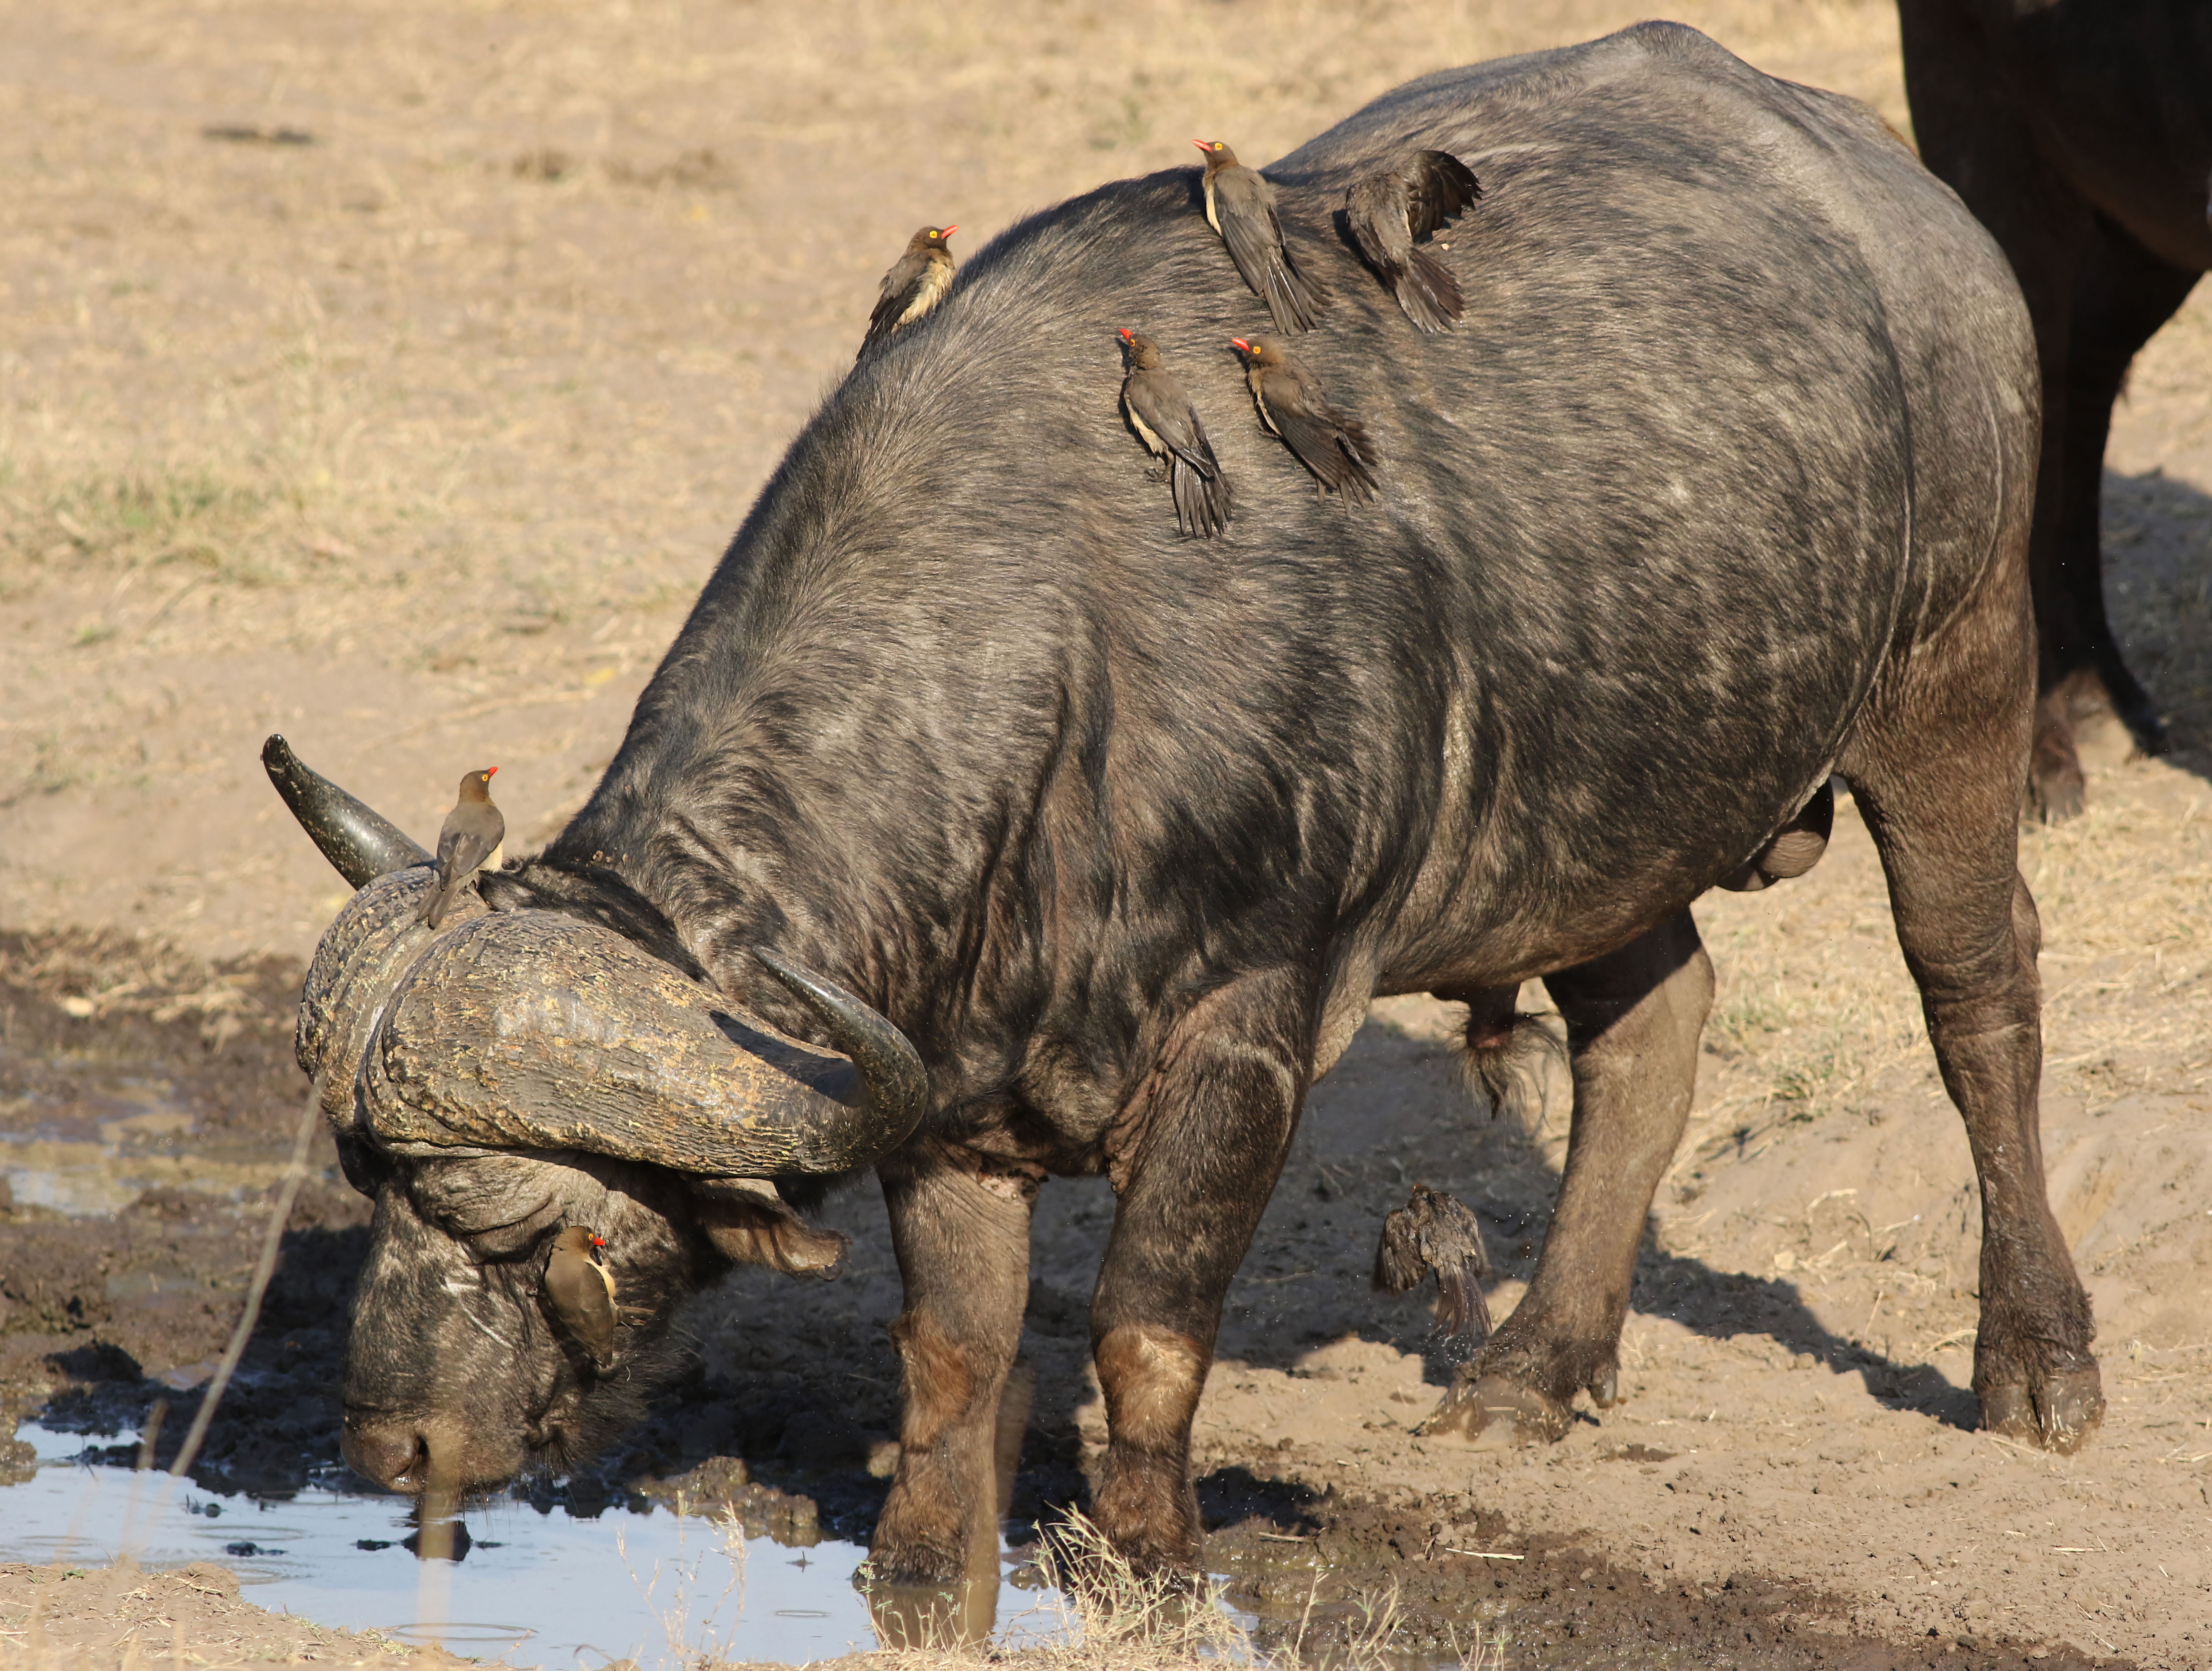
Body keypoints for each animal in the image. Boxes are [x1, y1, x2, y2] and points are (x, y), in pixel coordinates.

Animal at [275, 22, 2102, 1587]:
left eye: (522, 1222)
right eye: (365, 1189)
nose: (387, 1444)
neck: (1071, 655)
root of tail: (1904, 201)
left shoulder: (1249, 1033)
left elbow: (1147, 1323)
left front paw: (1143, 1551)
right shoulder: (944, 1087)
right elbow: (957, 1349)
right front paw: (923, 1567)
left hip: (1954, 670)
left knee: (1980, 989)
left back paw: (2035, 1361)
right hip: (1600, 813)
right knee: (1654, 1023)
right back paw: (1536, 1362)